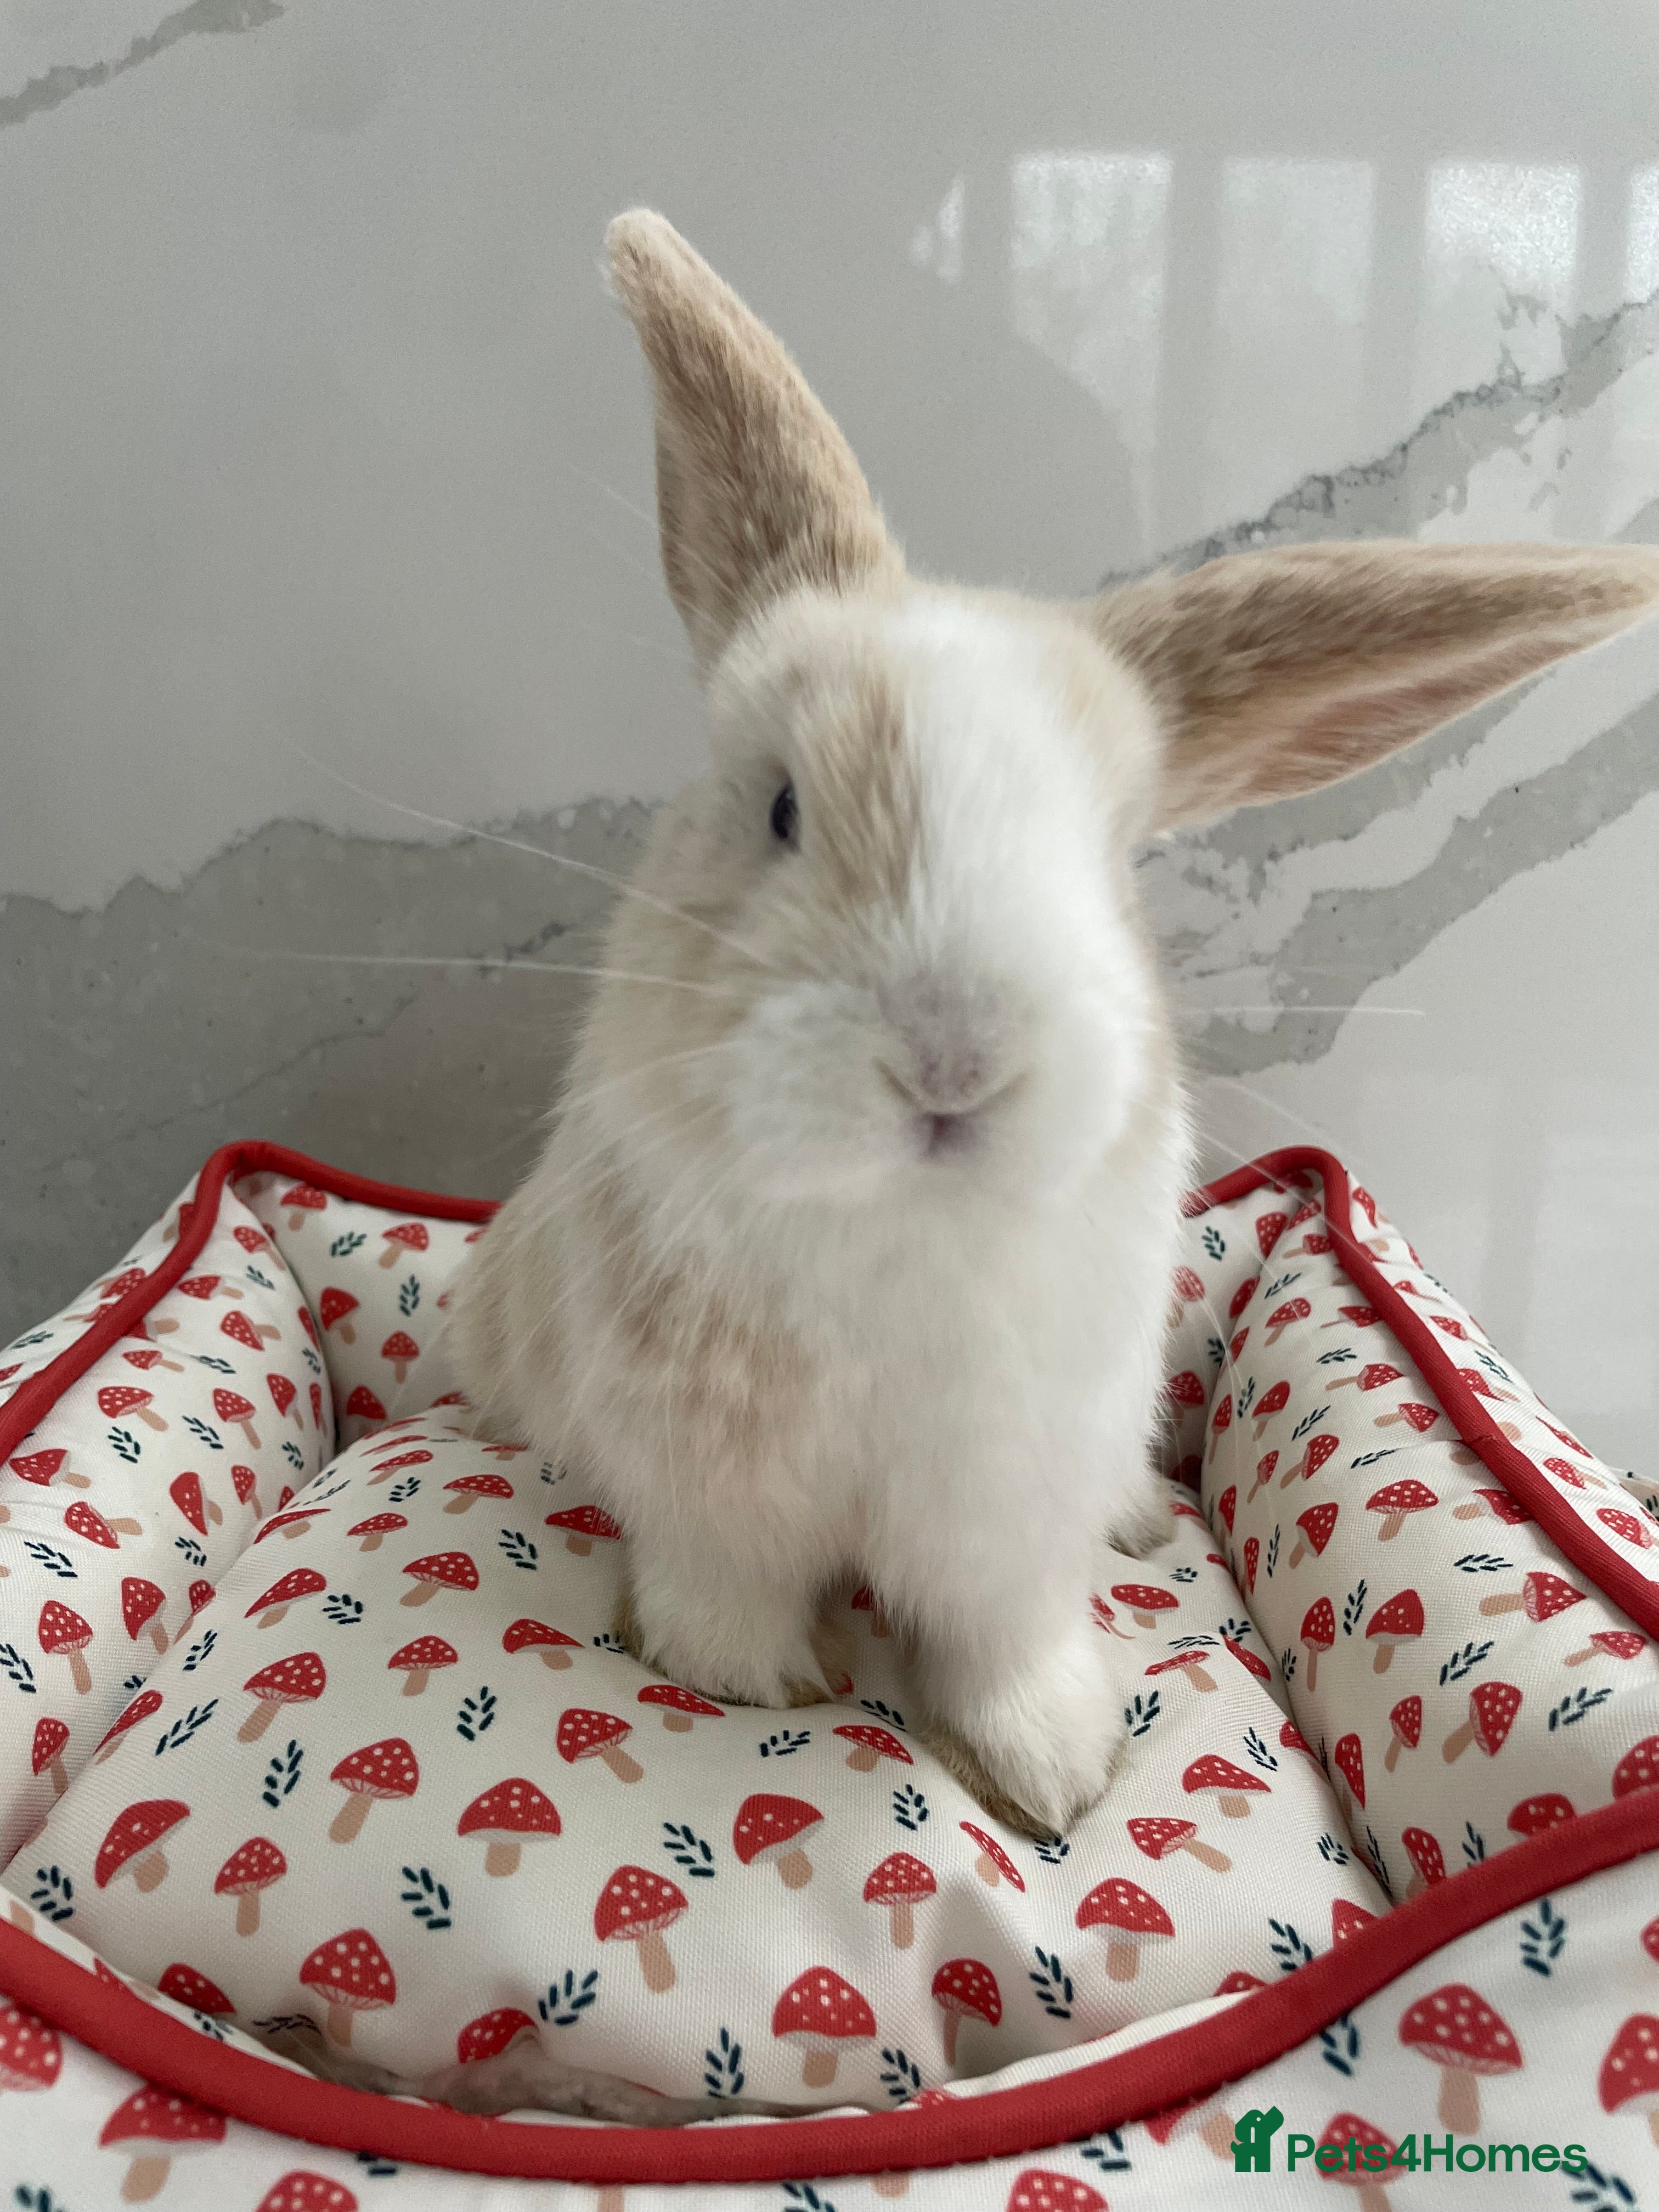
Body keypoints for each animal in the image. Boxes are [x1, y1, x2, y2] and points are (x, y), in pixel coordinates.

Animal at [447, 208, 1659, 1838]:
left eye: (1116, 863)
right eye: (779, 809)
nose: (954, 1066)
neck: (897, 1233)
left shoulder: (1004, 1515)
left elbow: (1000, 1642)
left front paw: (1052, 1772)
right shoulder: (708, 1489)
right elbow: (726, 1599)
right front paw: (748, 1686)